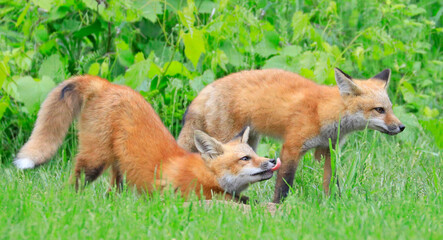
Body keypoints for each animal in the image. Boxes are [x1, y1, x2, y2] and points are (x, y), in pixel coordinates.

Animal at [13, 76, 280, 202]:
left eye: (255, 154)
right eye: (245, 158)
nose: (272, 160)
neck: (203, 175)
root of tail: (107, 84)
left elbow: (248, 201)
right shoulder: (183, 195)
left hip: (118, 165)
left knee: (112, 190)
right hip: (94, 161)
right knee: (75, 179)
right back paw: (71, 199)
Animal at [180, 68, 406, 202]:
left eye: (390, 108)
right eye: (379, 110)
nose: (401, 126)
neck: (322, 112)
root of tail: (204, 90)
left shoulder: (330, 149)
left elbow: (331, 181)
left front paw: (333, 204)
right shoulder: (292, 146)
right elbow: (284, 183)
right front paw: (277, 206)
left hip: (249, 142)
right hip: (227, 140)